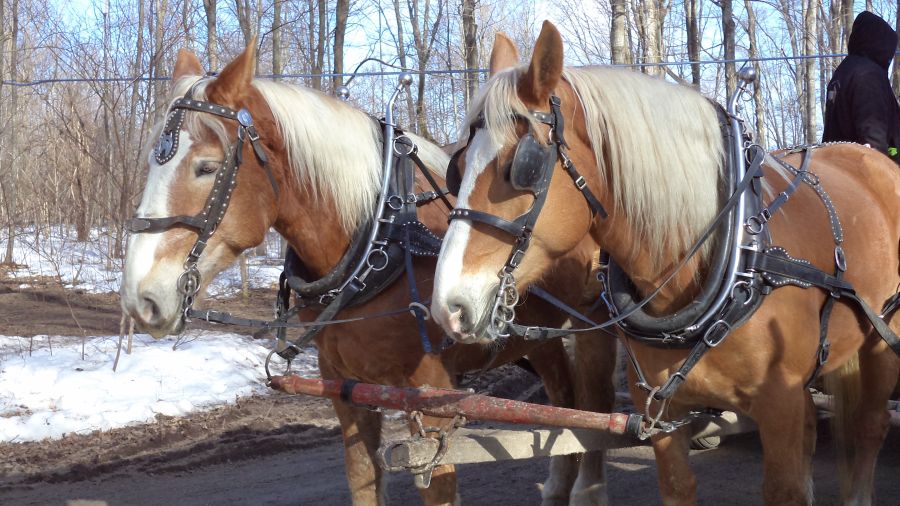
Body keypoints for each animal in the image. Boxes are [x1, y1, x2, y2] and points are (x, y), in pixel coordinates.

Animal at [119, 42, 616, 506]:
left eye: (205, 167)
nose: (141, 299)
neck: (380, 241)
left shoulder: (431, 397)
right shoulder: (349, 390)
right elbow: (362, 476)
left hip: (595, 323)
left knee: (592, 408)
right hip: (535, 338)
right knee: (564, 402)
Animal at [432, 21, 900, 505]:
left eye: (522, 167)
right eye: (458, 166)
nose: (449, 306)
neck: (736, 255)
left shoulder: (781, 403)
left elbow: (786, 486)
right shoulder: (659, 410)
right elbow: (678, 484)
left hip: (884, 337)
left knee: (870, 425)